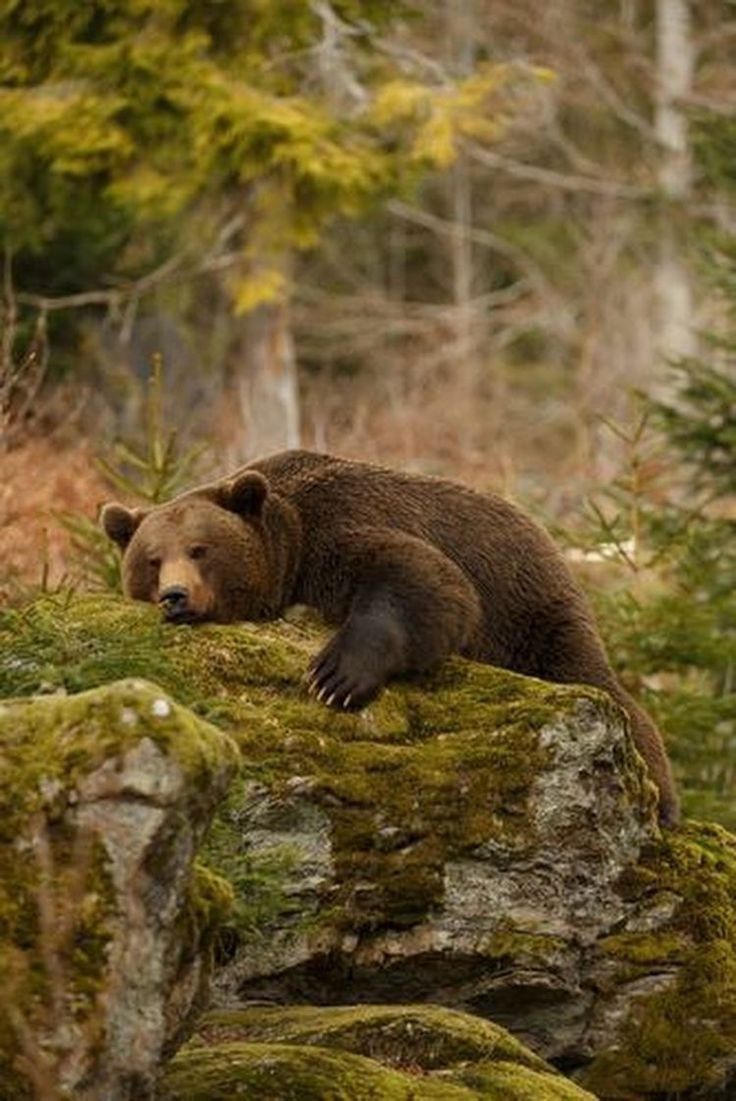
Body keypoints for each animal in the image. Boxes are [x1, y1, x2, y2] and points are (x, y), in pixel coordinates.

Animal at [101, 449, 678, 827]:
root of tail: (549, 539)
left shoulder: (336, 527)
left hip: (530, 611)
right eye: (152, 559)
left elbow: (424, 578)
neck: (287, 548)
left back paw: (662, 801)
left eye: (200, 550)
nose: (175, 596)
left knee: (600, 688)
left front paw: (334, 676)